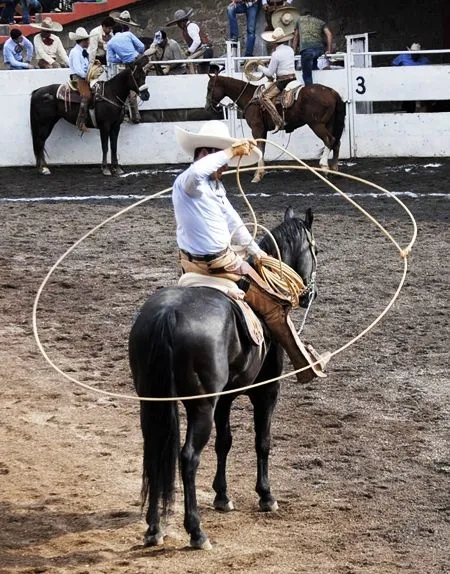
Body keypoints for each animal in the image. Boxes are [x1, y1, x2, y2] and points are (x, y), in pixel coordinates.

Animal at [128, 208, 318, 552]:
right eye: (315, 249)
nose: (309, 294)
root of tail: (168, 314)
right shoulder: (266, 391)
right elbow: (262, 441)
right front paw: (266, 496)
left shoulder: (225, 397)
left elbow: (224, 442)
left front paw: (222, 496)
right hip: (201, 405)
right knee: (188, 457)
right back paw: (196, 532)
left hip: (151, 401)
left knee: (155, 451)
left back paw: (154, 528)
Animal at [206, 72, 346, 183]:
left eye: (209, 88)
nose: (207, 107)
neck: (250, 97)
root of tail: (331, 92)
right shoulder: (263, 131)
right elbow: (262, 149)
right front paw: (260, 173)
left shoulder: (256, 129)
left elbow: (260, 149)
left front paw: (257, 176)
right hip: (330, 124)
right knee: (336, 143)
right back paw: (335, 169)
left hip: (317, 124)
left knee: (329, 140)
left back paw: (324, 167)